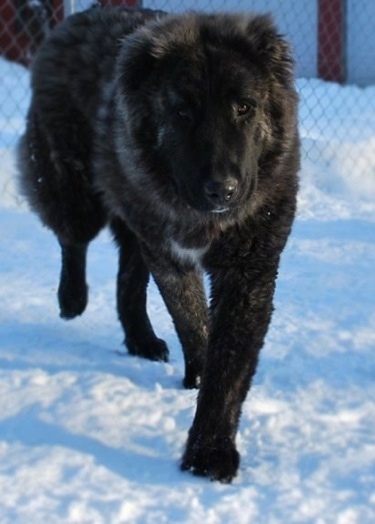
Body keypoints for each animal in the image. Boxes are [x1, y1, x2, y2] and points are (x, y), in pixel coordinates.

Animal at [17, 7, 302, 484]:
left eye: (244, 107)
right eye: (182, 111)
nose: (222, 189)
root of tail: (77, 18)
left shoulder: (249, 272)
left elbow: (228, 368)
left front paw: (209, 448)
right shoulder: (171, 257)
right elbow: (194, 324)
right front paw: (200, 392)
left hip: (137, 229)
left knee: (126, 285)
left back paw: (142, 341)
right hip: (74, 191)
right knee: (73, 241)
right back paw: (72, 298)